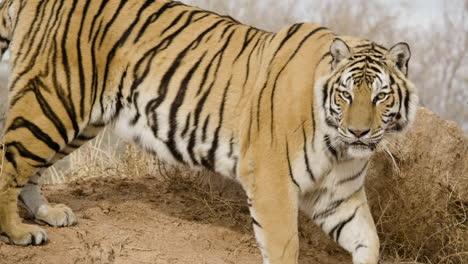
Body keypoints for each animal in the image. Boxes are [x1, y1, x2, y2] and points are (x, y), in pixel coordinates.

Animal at [0, 0, 416, 264]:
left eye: (380, 96)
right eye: (346, 94)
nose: (359, 132)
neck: (339, 147)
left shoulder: (337, 196)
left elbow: (369, 240)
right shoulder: (272, 183)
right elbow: (285, 247)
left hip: (80, 119)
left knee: (28, 169)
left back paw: (48, 214)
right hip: (54, 101)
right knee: (11, 163)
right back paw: (19, 233)